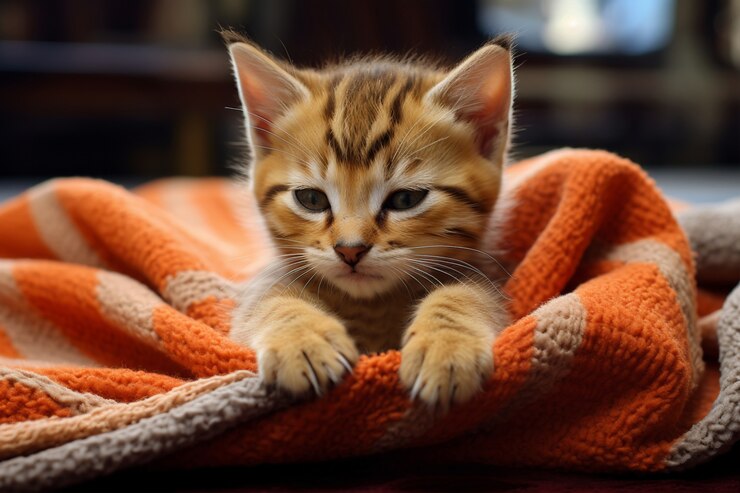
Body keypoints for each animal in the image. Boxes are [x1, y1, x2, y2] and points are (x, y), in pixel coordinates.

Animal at [225, 32, 512, 410]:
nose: (350, 250)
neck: (372, 307)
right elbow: (269, 298)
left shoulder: (481, 272)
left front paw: (448, 345)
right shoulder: (268, 279)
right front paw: (301, 339)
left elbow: (469, 292)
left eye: (405, 200)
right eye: (311, 199)